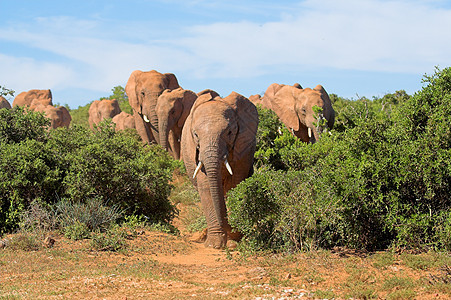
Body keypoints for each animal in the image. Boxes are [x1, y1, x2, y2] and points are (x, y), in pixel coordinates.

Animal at [180, 91, 258, 248]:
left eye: (229, 132)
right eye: (195, 135)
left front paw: (232, 242)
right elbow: (206, 187)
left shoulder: (242, 148)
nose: (232, 228)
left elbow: (234, 184)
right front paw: (214, 245)